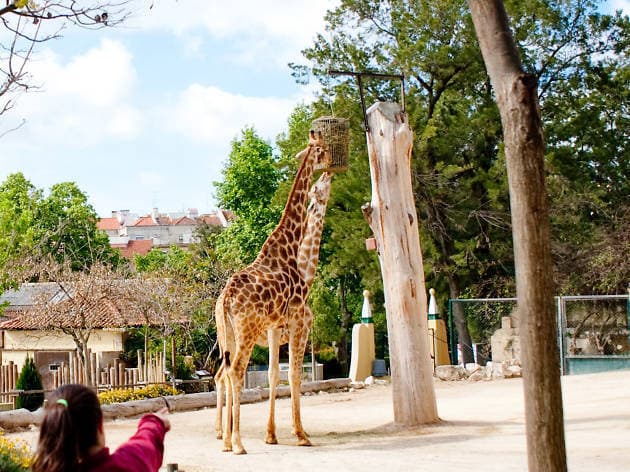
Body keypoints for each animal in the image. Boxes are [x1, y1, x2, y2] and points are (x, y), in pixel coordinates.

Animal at [215, 129, 334, 454]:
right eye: (322, 149)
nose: (331, 168)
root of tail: (225, 299)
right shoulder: (297, 321)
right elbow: (293, 374)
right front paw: (301, 435)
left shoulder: (274, 326)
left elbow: (273, 374)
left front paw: (274, 434)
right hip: (246, 331)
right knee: (235, 371)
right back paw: (237, 442)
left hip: (229, 335)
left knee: (224, 373)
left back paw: (227, 439)